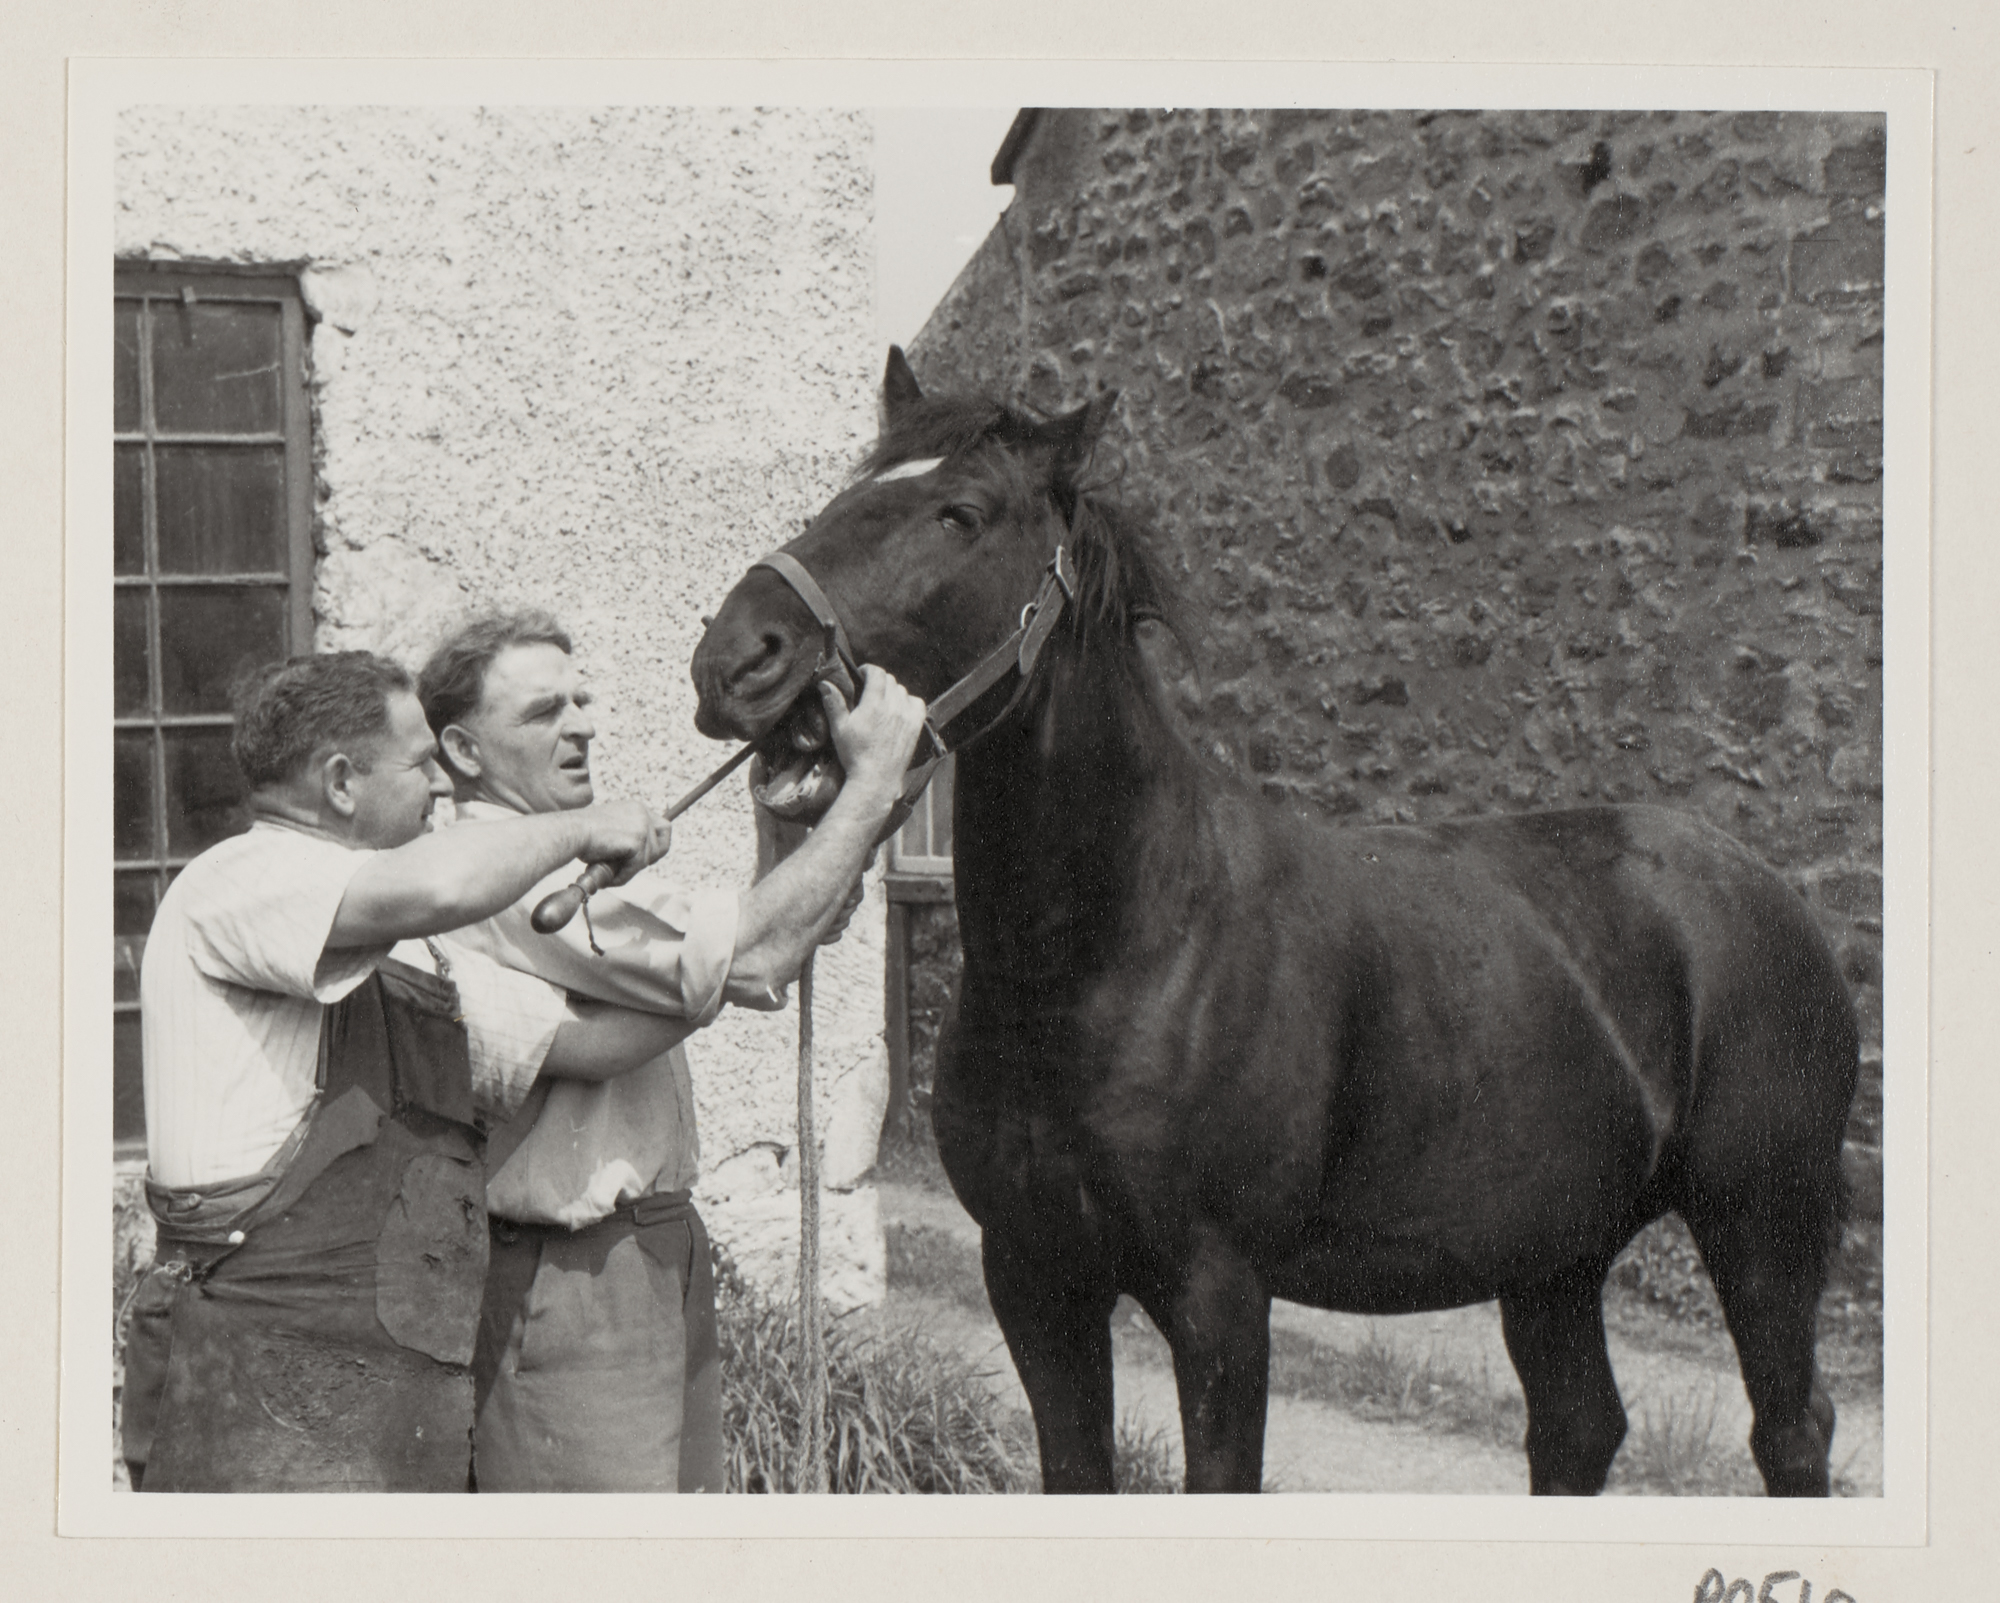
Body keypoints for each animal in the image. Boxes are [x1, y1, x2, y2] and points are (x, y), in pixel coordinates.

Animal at [690, 349, 1860, 1496]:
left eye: (960, 513)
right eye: (845, 496)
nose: (737, 660)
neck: (1118, 951)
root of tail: (1761, 890)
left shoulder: (1217, 1299)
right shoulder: (1033, 1276)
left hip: (1761, 1227)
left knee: (1790, 1431)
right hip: (1553, 1252)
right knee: (1578, 1428)